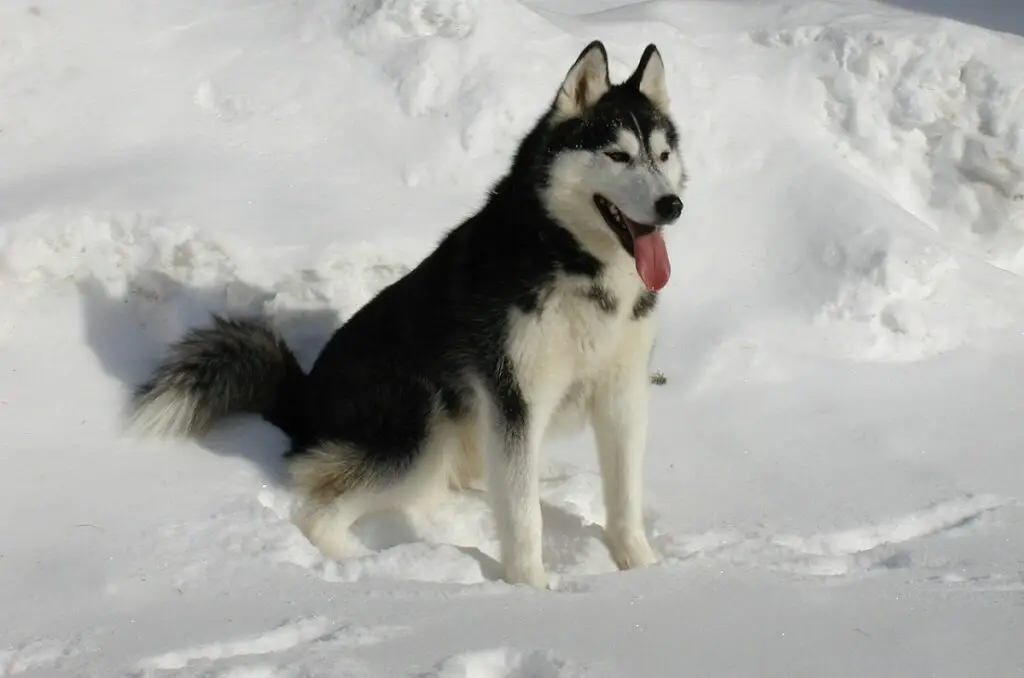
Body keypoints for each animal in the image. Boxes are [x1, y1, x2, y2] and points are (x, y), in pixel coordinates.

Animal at [130, 41, 688, 589]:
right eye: (618, 155)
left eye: (663, 155)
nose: (672, 204)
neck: (574, 263)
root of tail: (303, 397)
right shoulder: (514, 402)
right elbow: (524, 517)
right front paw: (530, 590)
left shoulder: (621, 394)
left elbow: (624, 499)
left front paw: (643, 571)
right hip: (423, 430)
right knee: (319, 514)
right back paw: (371, 572)